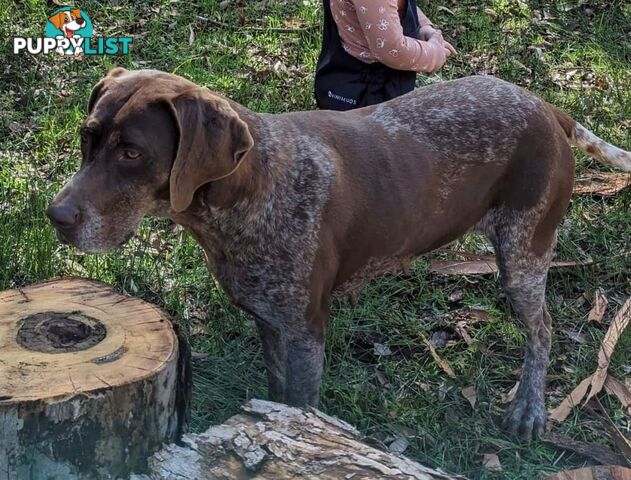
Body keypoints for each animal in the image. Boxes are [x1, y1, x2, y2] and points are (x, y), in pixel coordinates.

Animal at [47, 69, 628, 440]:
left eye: (132, 153)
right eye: (86, 139)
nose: (57, 216)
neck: (252, 188)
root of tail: (542, 106)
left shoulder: (305, 330)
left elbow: (301, 409)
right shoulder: (272, 322)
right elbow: (277, 397)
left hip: (523, 253)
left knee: (542, 330)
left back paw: (530, 409)